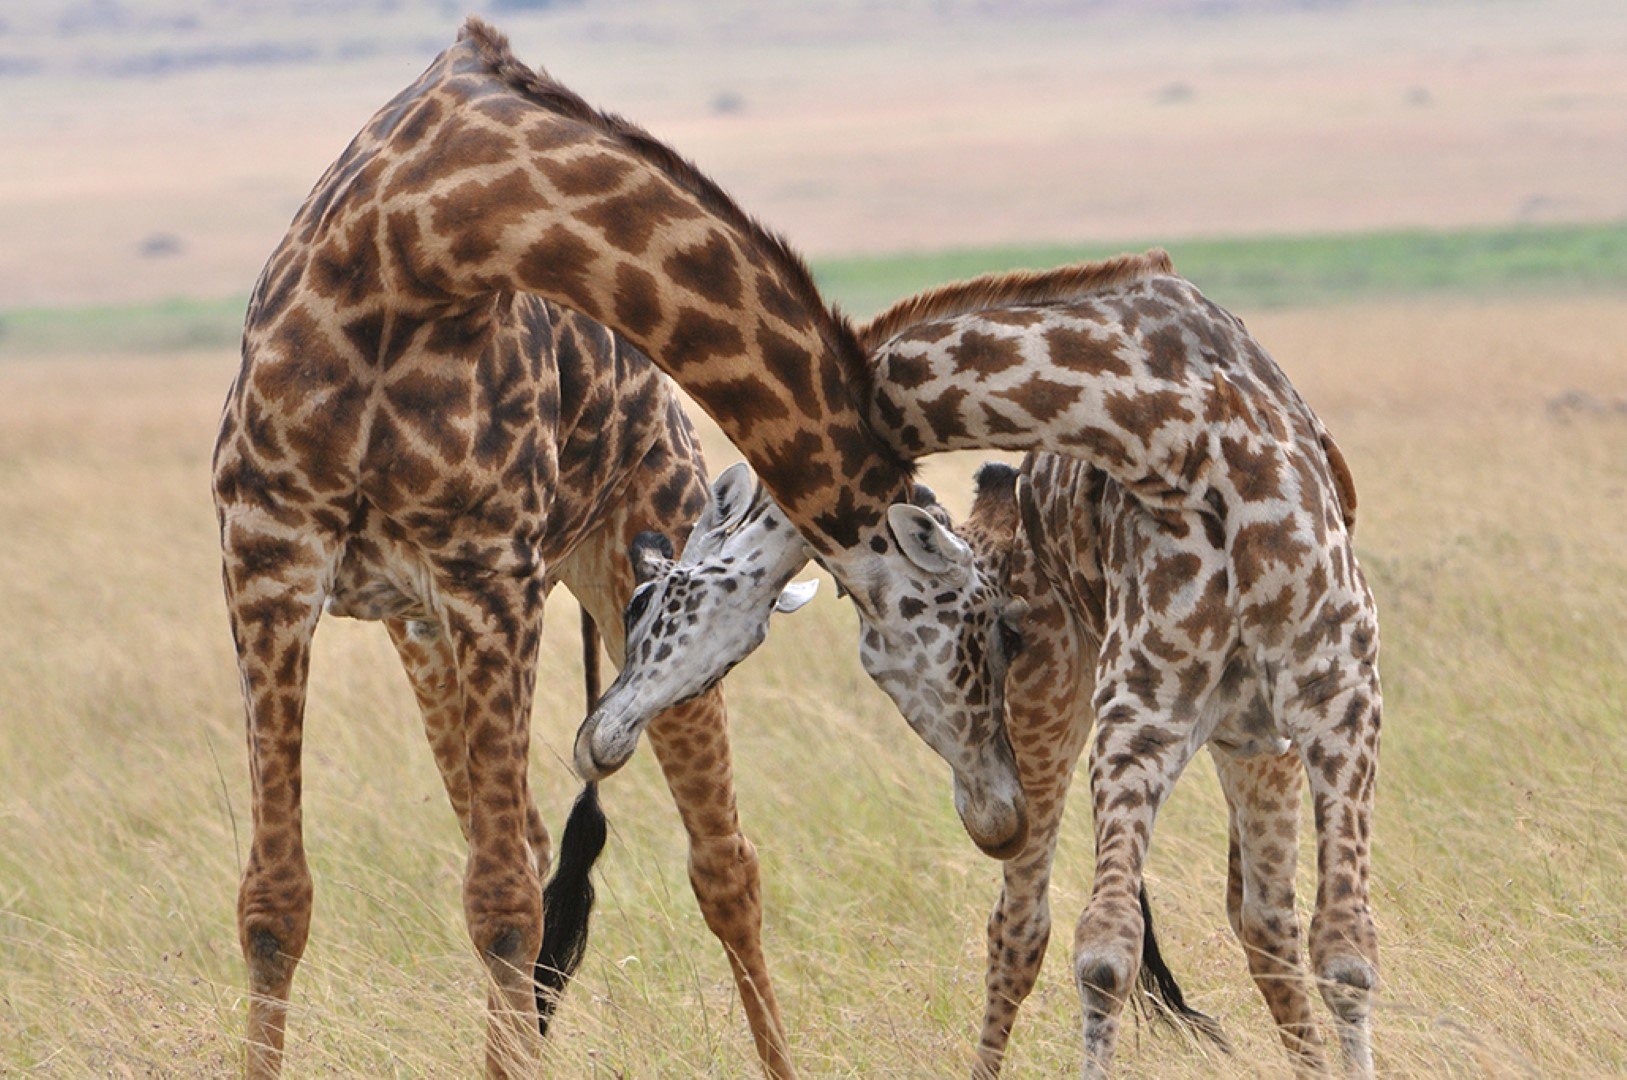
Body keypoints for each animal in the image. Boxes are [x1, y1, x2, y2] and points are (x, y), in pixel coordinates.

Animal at [598, 248, 1386, 1073]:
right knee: (1023, 925)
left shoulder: (1340, 699)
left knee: (1264, 921)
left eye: (645, 601)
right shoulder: (1142, 716)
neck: (1181, 433)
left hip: (1243, 739)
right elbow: (1104, 953)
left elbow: (1344, 952)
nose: (603, 735)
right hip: (1070, 708)